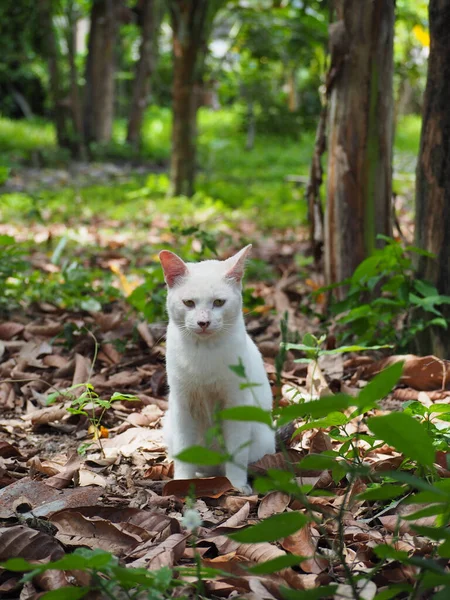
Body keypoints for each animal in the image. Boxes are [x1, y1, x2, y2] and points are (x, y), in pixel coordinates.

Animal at [160, 244, 276, 492]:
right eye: (189, 303)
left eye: (219, 303)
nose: (203, 322)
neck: (204, 353)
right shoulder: (182, 405)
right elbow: (185, 453)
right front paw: (181, 483)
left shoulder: (236, 404)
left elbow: (236, 454)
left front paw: (237, 486)